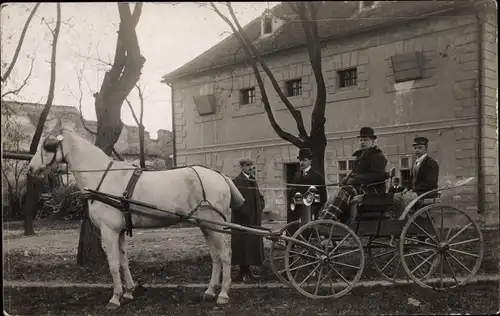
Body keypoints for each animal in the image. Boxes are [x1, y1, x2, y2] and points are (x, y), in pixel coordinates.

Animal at [27, 121, 246, 308]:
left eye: (47, 146)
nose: (30, 168)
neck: (103, 177)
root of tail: (220, 175)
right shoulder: (121, 230)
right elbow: (124, 261)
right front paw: (129, 292)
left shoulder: (109, 230)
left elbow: (113, 264)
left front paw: (115, 298)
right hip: (206, 225)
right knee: (215, 256)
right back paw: (210, 291)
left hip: (215, 224)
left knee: (225, 254)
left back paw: (223, 294)